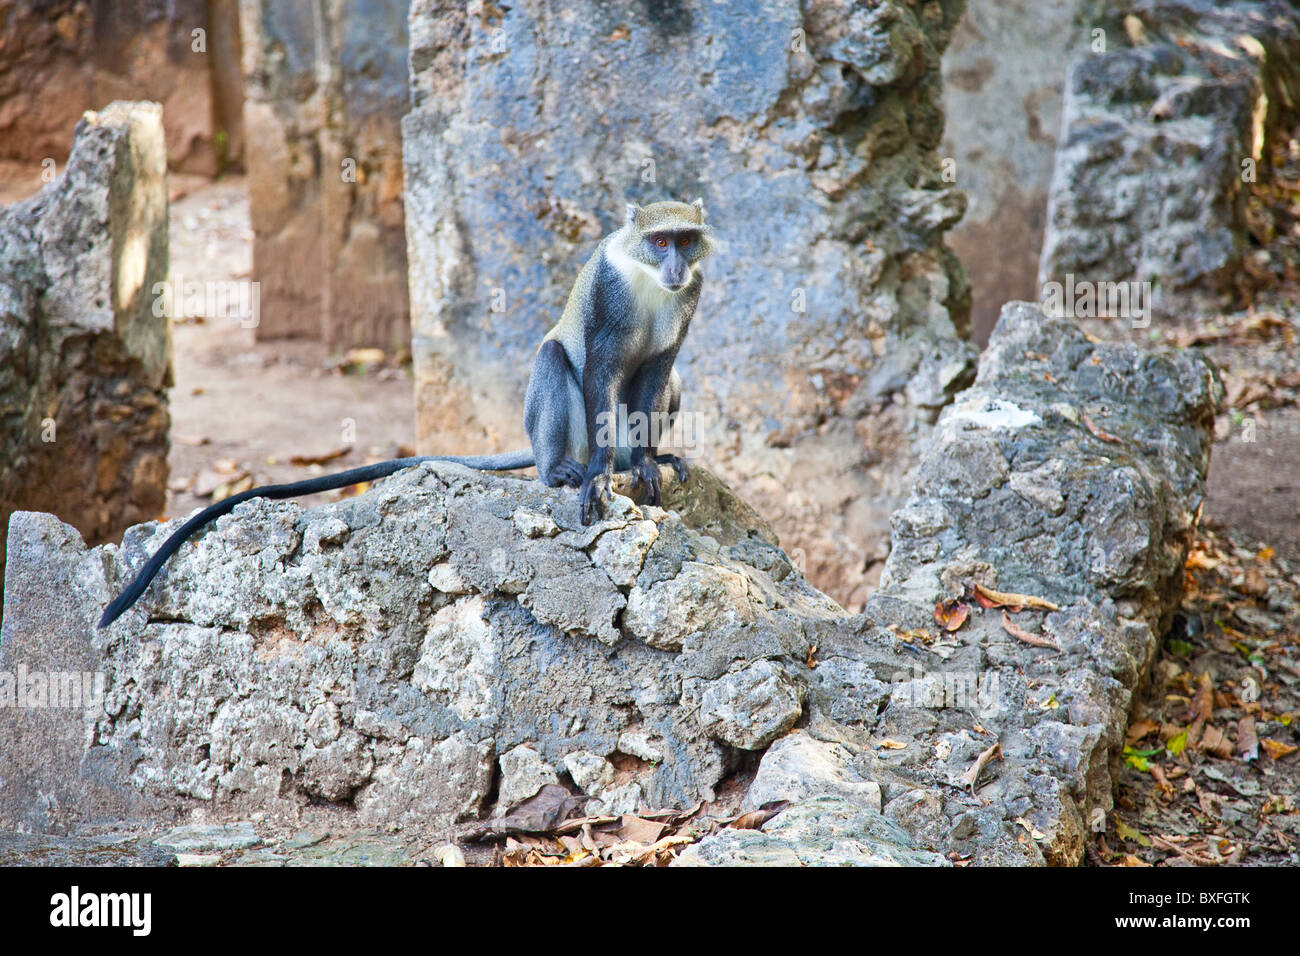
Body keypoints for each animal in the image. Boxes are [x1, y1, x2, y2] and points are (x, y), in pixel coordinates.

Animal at [97, 199, 715, 629]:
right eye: (659, 240)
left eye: (685, 241)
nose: (675, 265)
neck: (649, 282)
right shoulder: (610, 296)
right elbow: (600, 368)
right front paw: (598, 479)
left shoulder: (686, 304)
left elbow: (658, 371)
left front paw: (646, 462)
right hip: (561, 423)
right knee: (553, 357)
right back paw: (559, 469)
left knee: (670, 381)